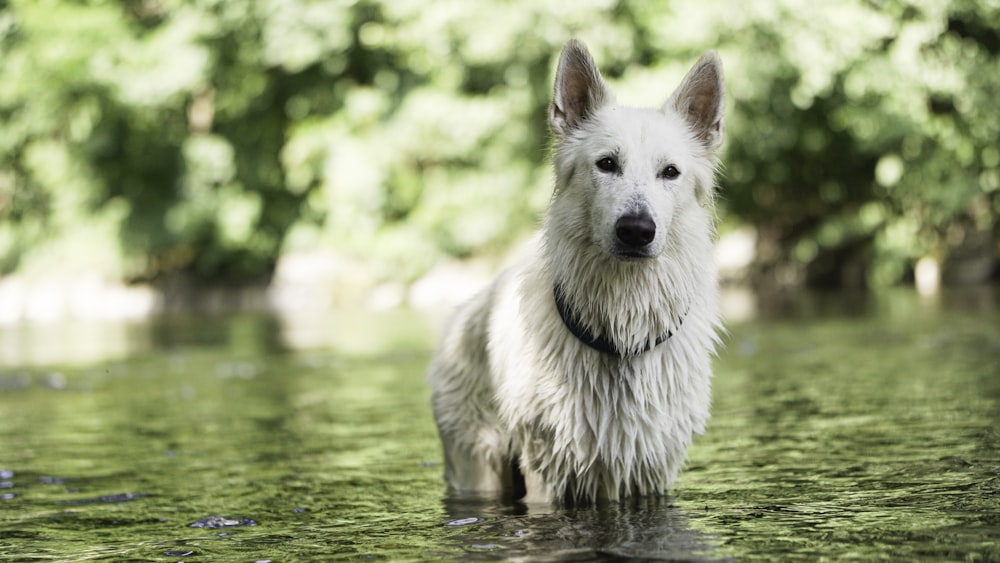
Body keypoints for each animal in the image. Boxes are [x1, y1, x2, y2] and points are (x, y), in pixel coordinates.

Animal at [426, 40, 724, 506]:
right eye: (606, 164)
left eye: (670, 172)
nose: (636, 230)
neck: (622, 334)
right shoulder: (549, 471)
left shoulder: (651, 470)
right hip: (479, 462)